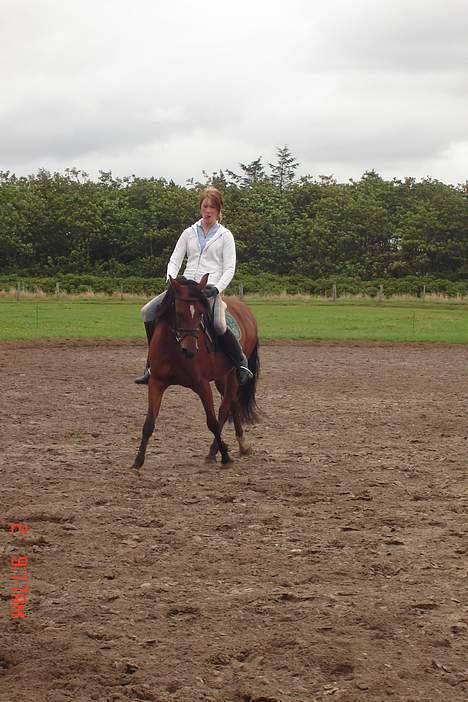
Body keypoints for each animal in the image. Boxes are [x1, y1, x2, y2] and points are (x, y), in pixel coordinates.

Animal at [133, 276, 260, 472]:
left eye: (200, 313)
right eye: (178, 312)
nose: (190, 349)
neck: (174, 349)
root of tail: (244, 309)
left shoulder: (202, 385)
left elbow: (212, 422)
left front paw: (225, 456)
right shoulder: (156, 382)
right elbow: (148, 423)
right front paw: (138, 461)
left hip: (232, 376)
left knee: (224, 410)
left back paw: (214, 452)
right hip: (221, 378)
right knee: (233, 404)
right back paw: (242, 446)